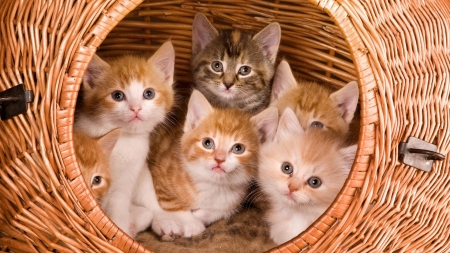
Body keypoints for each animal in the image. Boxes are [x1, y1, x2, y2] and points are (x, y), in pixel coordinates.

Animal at [74, 40, 175, 236]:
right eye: (117, 95)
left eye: (148, 93)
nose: (136, 108)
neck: (124, 140)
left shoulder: (128, 176)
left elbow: (119, 208)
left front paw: (121, 231)